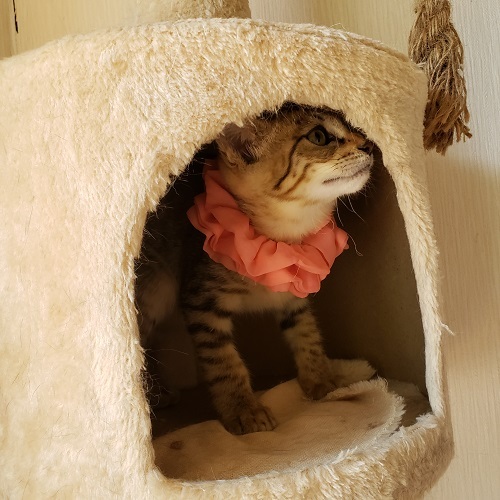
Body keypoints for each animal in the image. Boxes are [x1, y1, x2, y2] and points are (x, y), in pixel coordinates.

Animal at [135, 103, 374, 435]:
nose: (369, 145)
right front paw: (243, 409)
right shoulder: (201, 302)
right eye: (319, 136)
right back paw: (154, 395)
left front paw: (320, 380)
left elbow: (307, 335)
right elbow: (223, 362)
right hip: (154, 291)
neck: (283, 234)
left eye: (352, 126)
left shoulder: (294, 296)